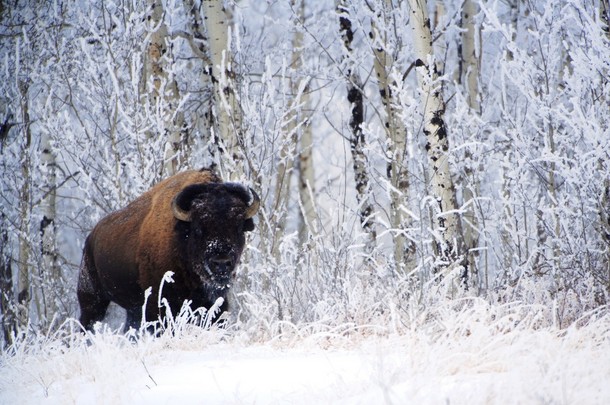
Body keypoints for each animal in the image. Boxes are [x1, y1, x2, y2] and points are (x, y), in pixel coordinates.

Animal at [77, 168, 258, 332]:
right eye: (198, 228)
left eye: (239, 227)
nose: (221, 263)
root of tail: (91, 237)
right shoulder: (159, 307)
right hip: (92, 299)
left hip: (132, 310)